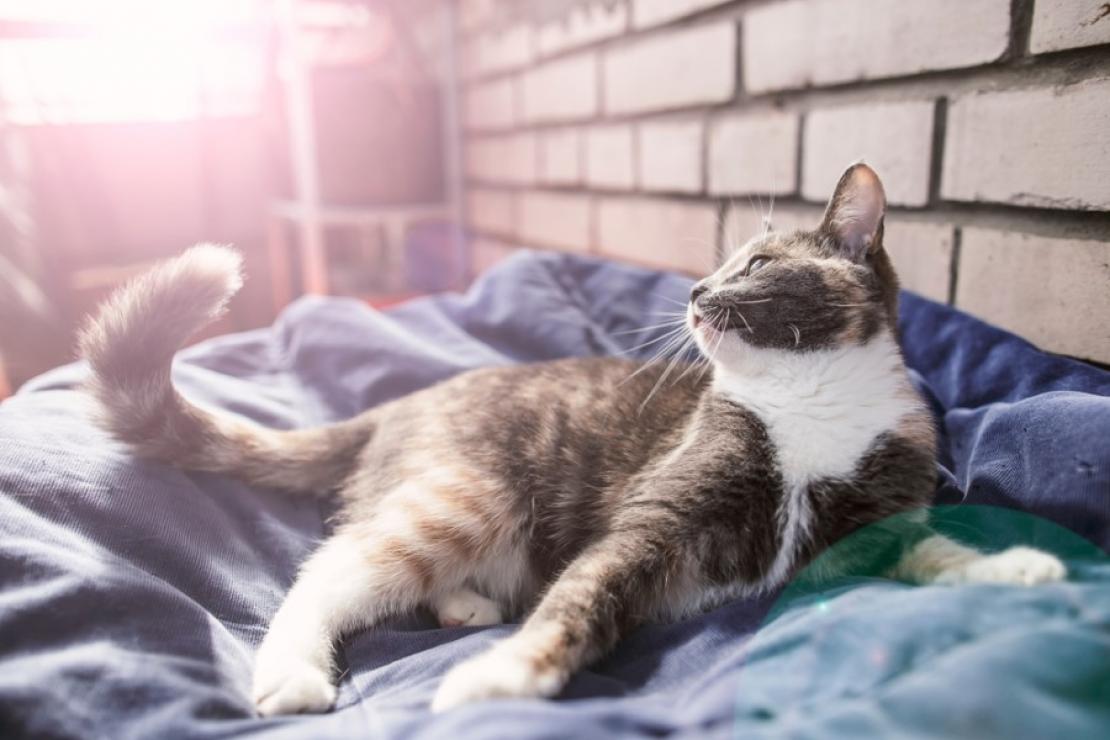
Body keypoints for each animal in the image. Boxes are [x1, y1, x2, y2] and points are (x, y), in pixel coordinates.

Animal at [80, 163, 1065, 718]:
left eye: (755, 265)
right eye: (715, 265)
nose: (693, 293)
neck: (809, 405)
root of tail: (399, 405)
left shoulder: (879, 513)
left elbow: (932, 553)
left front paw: (1013, 568)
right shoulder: (654, 520)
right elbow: (580, 598)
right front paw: (502, 681)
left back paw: (465, 607)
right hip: (469, 493)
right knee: (329, 571)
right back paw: (295, 672)